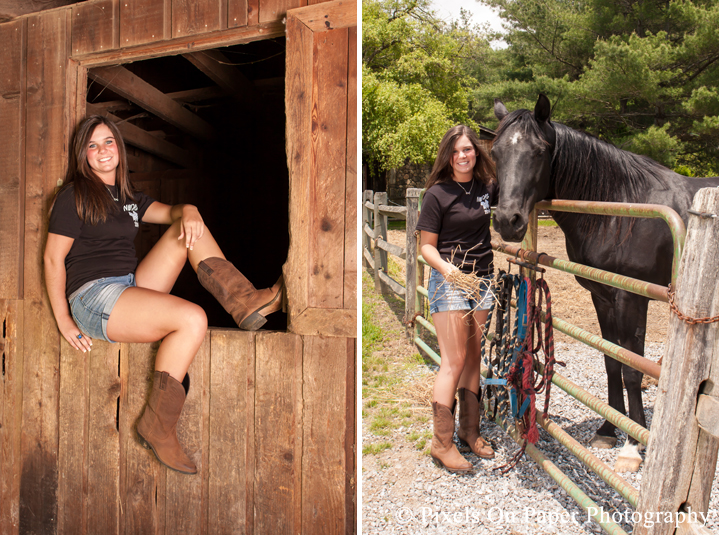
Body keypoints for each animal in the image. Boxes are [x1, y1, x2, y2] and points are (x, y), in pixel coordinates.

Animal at [492, 94, 719, 472]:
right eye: (496, 151)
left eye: (538, 151)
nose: (507, 221)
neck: (620, 209)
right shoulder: (602, 297)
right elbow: (611, 360)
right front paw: (608, 430)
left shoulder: (631, 299)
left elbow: (631, 368)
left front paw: (632, 445)